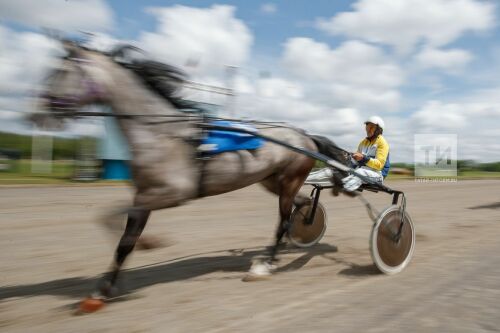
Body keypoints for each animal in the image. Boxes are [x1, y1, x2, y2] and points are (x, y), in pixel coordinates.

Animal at [38, 40, 348, 304]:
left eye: (61, 72)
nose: (40, 111)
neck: (162, 134)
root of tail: (305, 135)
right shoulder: (144, 194)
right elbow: (123, 240)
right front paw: (103, 289)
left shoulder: (172, 193)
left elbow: (109, 218)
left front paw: (151, 243)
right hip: (273, 181)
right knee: (302, 204)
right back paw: (300, 230)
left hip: (289, 179)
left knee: (283, 221)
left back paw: (265, 264)